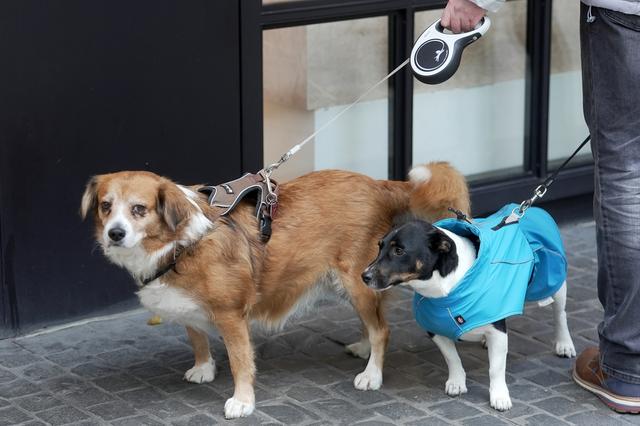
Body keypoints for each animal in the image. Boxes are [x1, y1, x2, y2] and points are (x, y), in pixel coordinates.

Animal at [80, 161, 470, 418]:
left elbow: (240, 361)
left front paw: (242, 401)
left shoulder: (231, 315)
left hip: (358, 279)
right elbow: (196, 336)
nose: (115, 234)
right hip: (353, 283)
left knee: (382, 329)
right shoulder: (188, 305)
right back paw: (363, 347)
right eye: (105, 207)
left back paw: (372, 373)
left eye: (139, 209)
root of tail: (379, 184)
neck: (181, 242)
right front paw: (204, 367)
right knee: (371, 322)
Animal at [362, 218, 576, 412]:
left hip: (553, 282)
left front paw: (499, 396)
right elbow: (452, 358)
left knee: (560, 314)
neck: (445, 288)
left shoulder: (498, 331)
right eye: (379, 246)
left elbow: (496, 368)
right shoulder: (434, 330)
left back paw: (564, 343)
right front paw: (457, 382)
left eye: (399, 251)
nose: (364, 276)